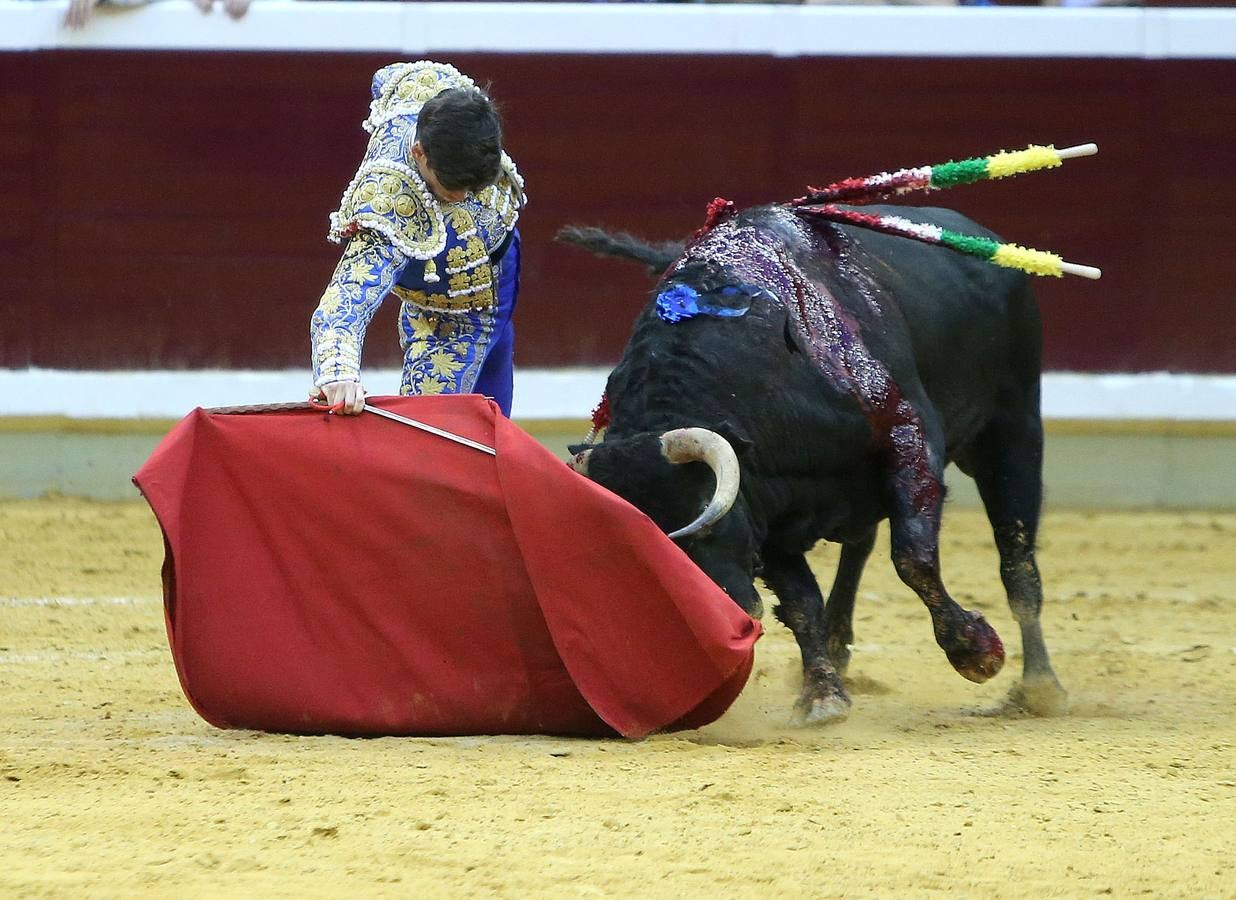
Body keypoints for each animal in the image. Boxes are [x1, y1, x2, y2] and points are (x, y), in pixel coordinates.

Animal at [563, 203, 1072, 721]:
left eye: (701, 523)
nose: (724, 622)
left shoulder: (908, 437)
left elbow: (913, 557)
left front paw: (976, 650)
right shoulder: (765, 508)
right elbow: (801, 601)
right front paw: (823, 696)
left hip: (1012, 428)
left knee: (1016, 557)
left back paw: (1039, 687)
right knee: (861, 545)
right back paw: (838, 645)